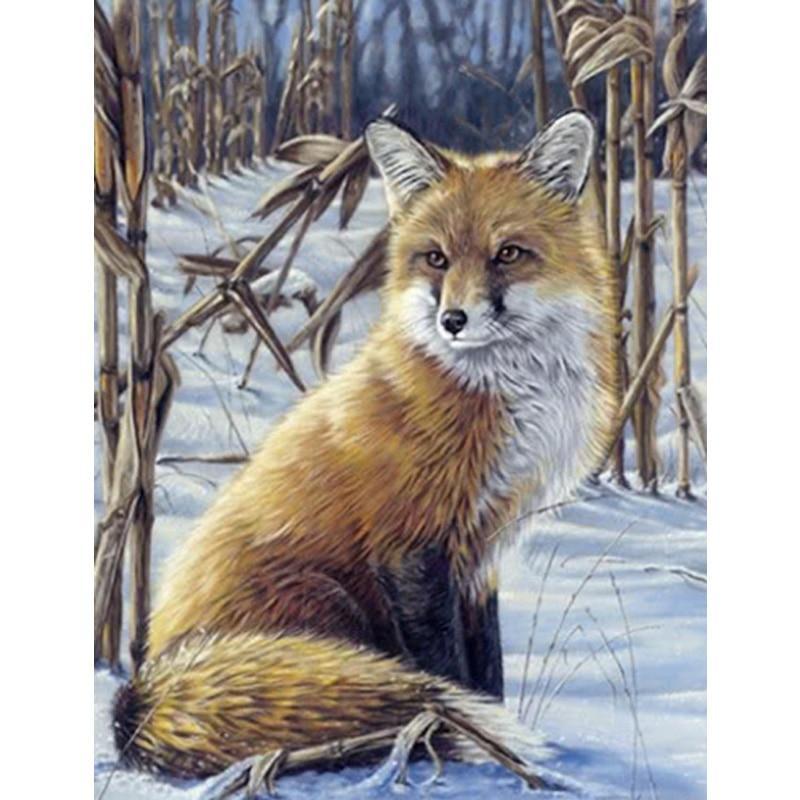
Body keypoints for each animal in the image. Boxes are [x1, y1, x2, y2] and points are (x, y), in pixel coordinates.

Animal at [112, 110, 619, 780]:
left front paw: (494, 737)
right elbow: (449, 670)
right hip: (328, 602)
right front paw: (480, 747)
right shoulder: (412, 546)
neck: (499, 392)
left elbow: (488, 670)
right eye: (435, 259)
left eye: (508, 254)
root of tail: (142, 691)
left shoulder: (481, 554)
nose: (453, 320)